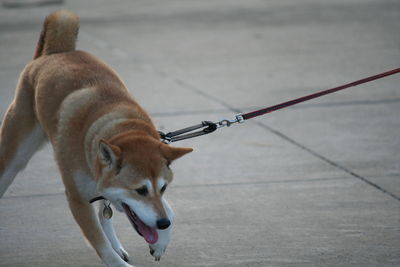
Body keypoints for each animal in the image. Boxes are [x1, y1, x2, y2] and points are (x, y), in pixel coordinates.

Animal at [0, 9, 192, 266]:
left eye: (163, 188)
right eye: (140, 190)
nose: (162, 224)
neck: (122, 128)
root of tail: (55, 52)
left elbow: (167, 209)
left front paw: (160, 242)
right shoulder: (77, 199)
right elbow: (101, 245)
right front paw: (119, 258)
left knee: (105, 213)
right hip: (14, 154)